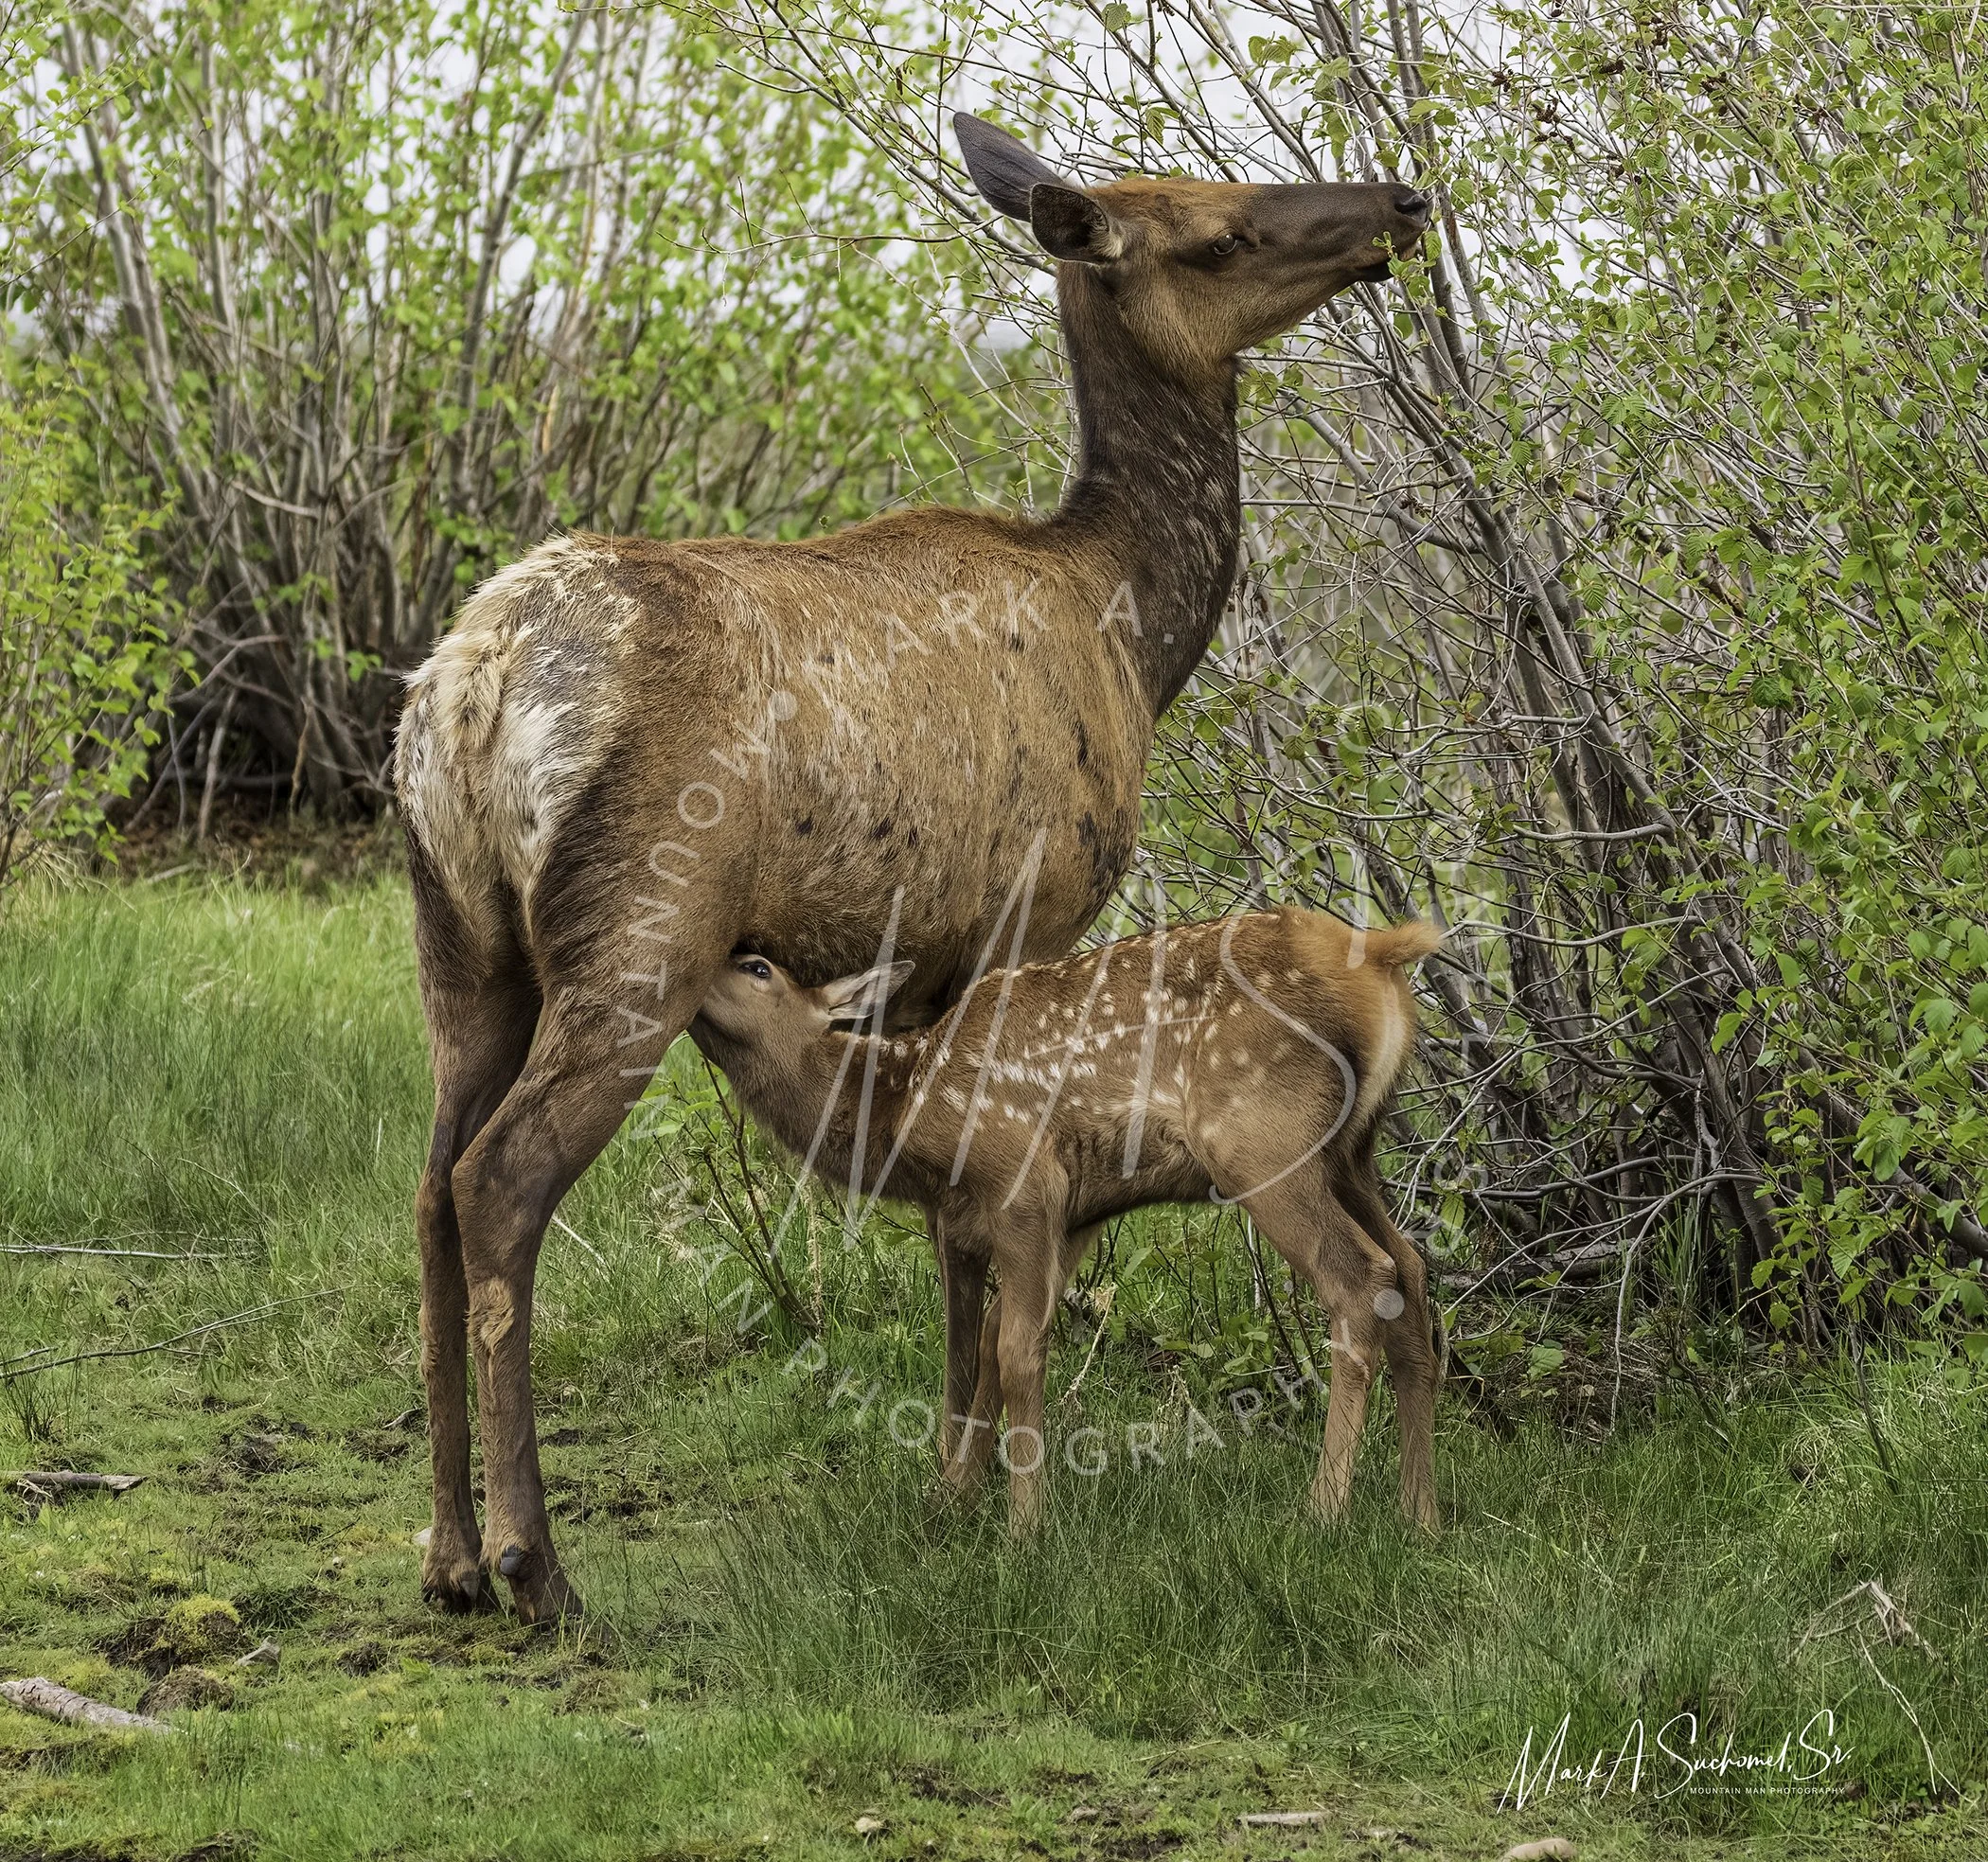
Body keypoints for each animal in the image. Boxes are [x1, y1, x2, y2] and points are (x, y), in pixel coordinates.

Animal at [691, 909, 1443, 1535]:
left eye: (756, 967)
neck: (905, 1110)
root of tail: (1381, 955)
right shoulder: (1065, 1213)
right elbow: (983, 1345)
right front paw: (953, 1496)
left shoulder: (1021, 1179)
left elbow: (1016, 1350)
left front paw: (1025, 1528)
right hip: (1352, 1152)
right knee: (1409, 1268)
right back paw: (1420, 1515)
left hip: (1261, 1138)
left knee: (1360, 1276)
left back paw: (1324, 1511)